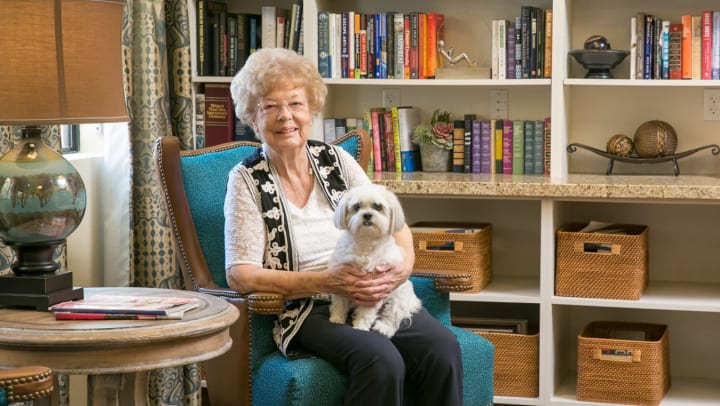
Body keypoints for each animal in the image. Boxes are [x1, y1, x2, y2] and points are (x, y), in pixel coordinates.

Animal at [328, 184, 422, 336]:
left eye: (378, 207)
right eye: (357, 206)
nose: (367, 215)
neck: (366, 240)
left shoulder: (374, 289)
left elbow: (366, 313)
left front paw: (360, 326)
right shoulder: (341, 278)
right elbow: (339, 302)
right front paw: (336, 318)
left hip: (398, 298)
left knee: (392, 316)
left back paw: (383, 327)